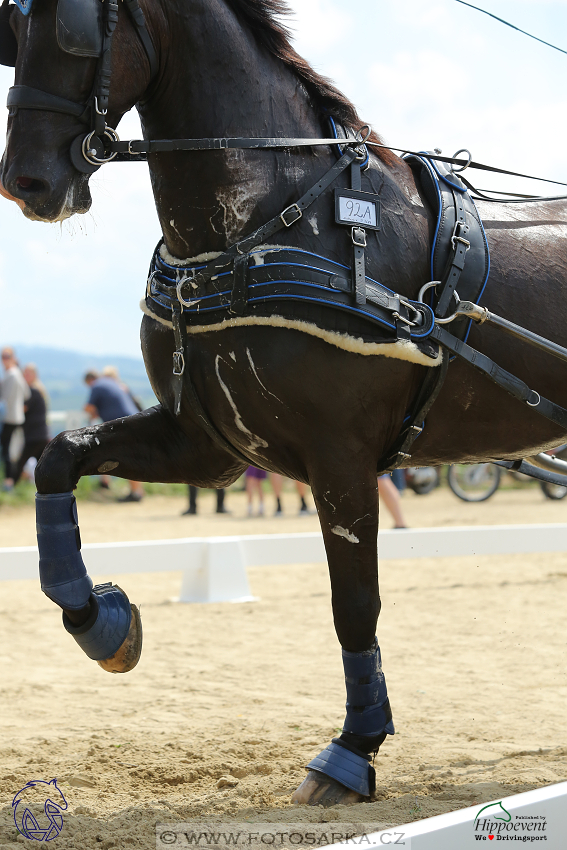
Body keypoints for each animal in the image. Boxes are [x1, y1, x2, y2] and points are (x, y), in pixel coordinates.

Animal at [1, 0, 567, 804]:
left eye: (72, 27)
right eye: (12, 30)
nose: (25, 180)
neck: (268, 226)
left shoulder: (342, 458)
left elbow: (353, 603)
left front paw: (353, 750)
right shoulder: (207, 443)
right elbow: (58, 458)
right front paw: (99, 620)